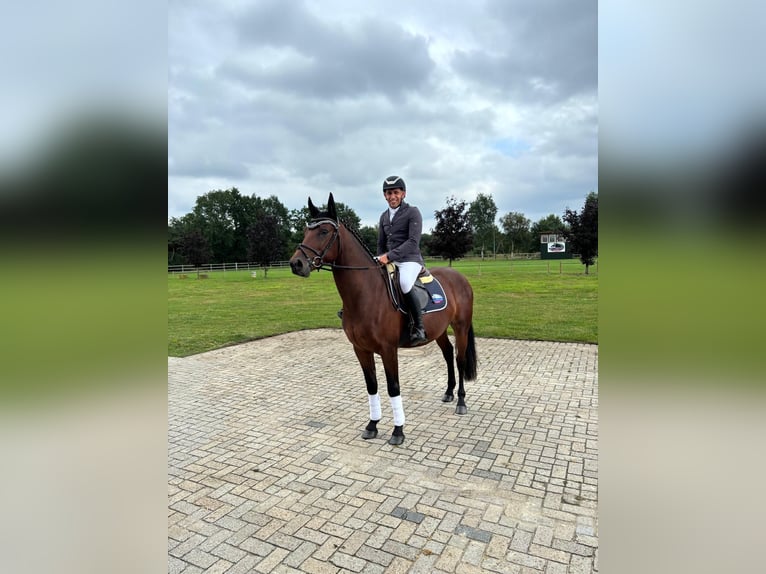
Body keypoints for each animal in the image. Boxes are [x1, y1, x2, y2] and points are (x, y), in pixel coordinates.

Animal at [290, 196, 480, 448]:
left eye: (323, 231)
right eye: (305, 231)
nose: (296, 264)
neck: (366, 294)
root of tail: (459, 277)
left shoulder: (389, 350)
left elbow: (393, 387)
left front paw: (398, 431)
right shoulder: (360, 349)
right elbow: (372, 386)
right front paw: (372, 425)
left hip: (460, 327)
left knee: (459, 359)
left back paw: (460, 401)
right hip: (439, 330)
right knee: (448, 354)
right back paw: (449, 393)